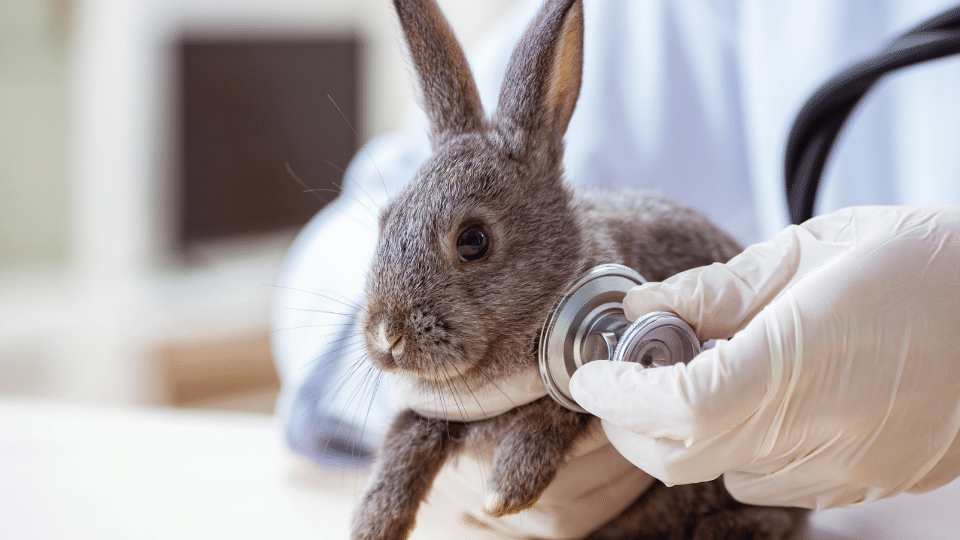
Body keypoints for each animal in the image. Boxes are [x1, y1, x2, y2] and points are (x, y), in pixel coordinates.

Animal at [351, 1, 807, 539]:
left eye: (473, 241)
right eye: (384, 221)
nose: (387, 335)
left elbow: (557, 412)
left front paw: (507, 489)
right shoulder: (430, 412)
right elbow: (405, 438)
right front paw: (373, 522)